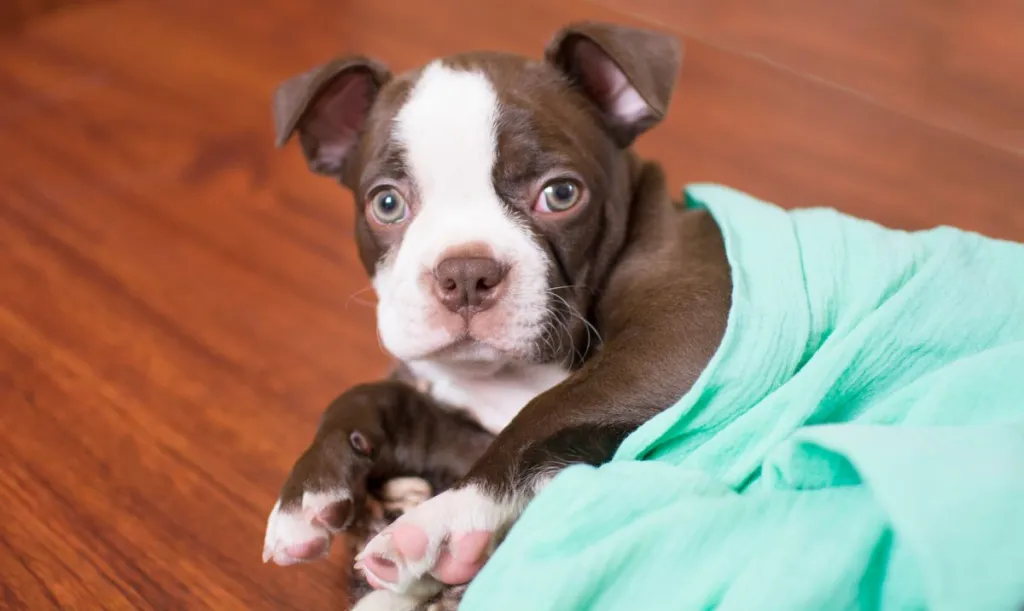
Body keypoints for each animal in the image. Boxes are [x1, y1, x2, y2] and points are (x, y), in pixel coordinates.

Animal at [260, 20, 733, 609]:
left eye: (561, 194)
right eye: (386, 203)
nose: (465, 273)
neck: (509, 375)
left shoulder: (680, 339)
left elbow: (543, 414)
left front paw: (438, 523)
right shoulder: (468, 429)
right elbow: (379, 397)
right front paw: (311, 490)